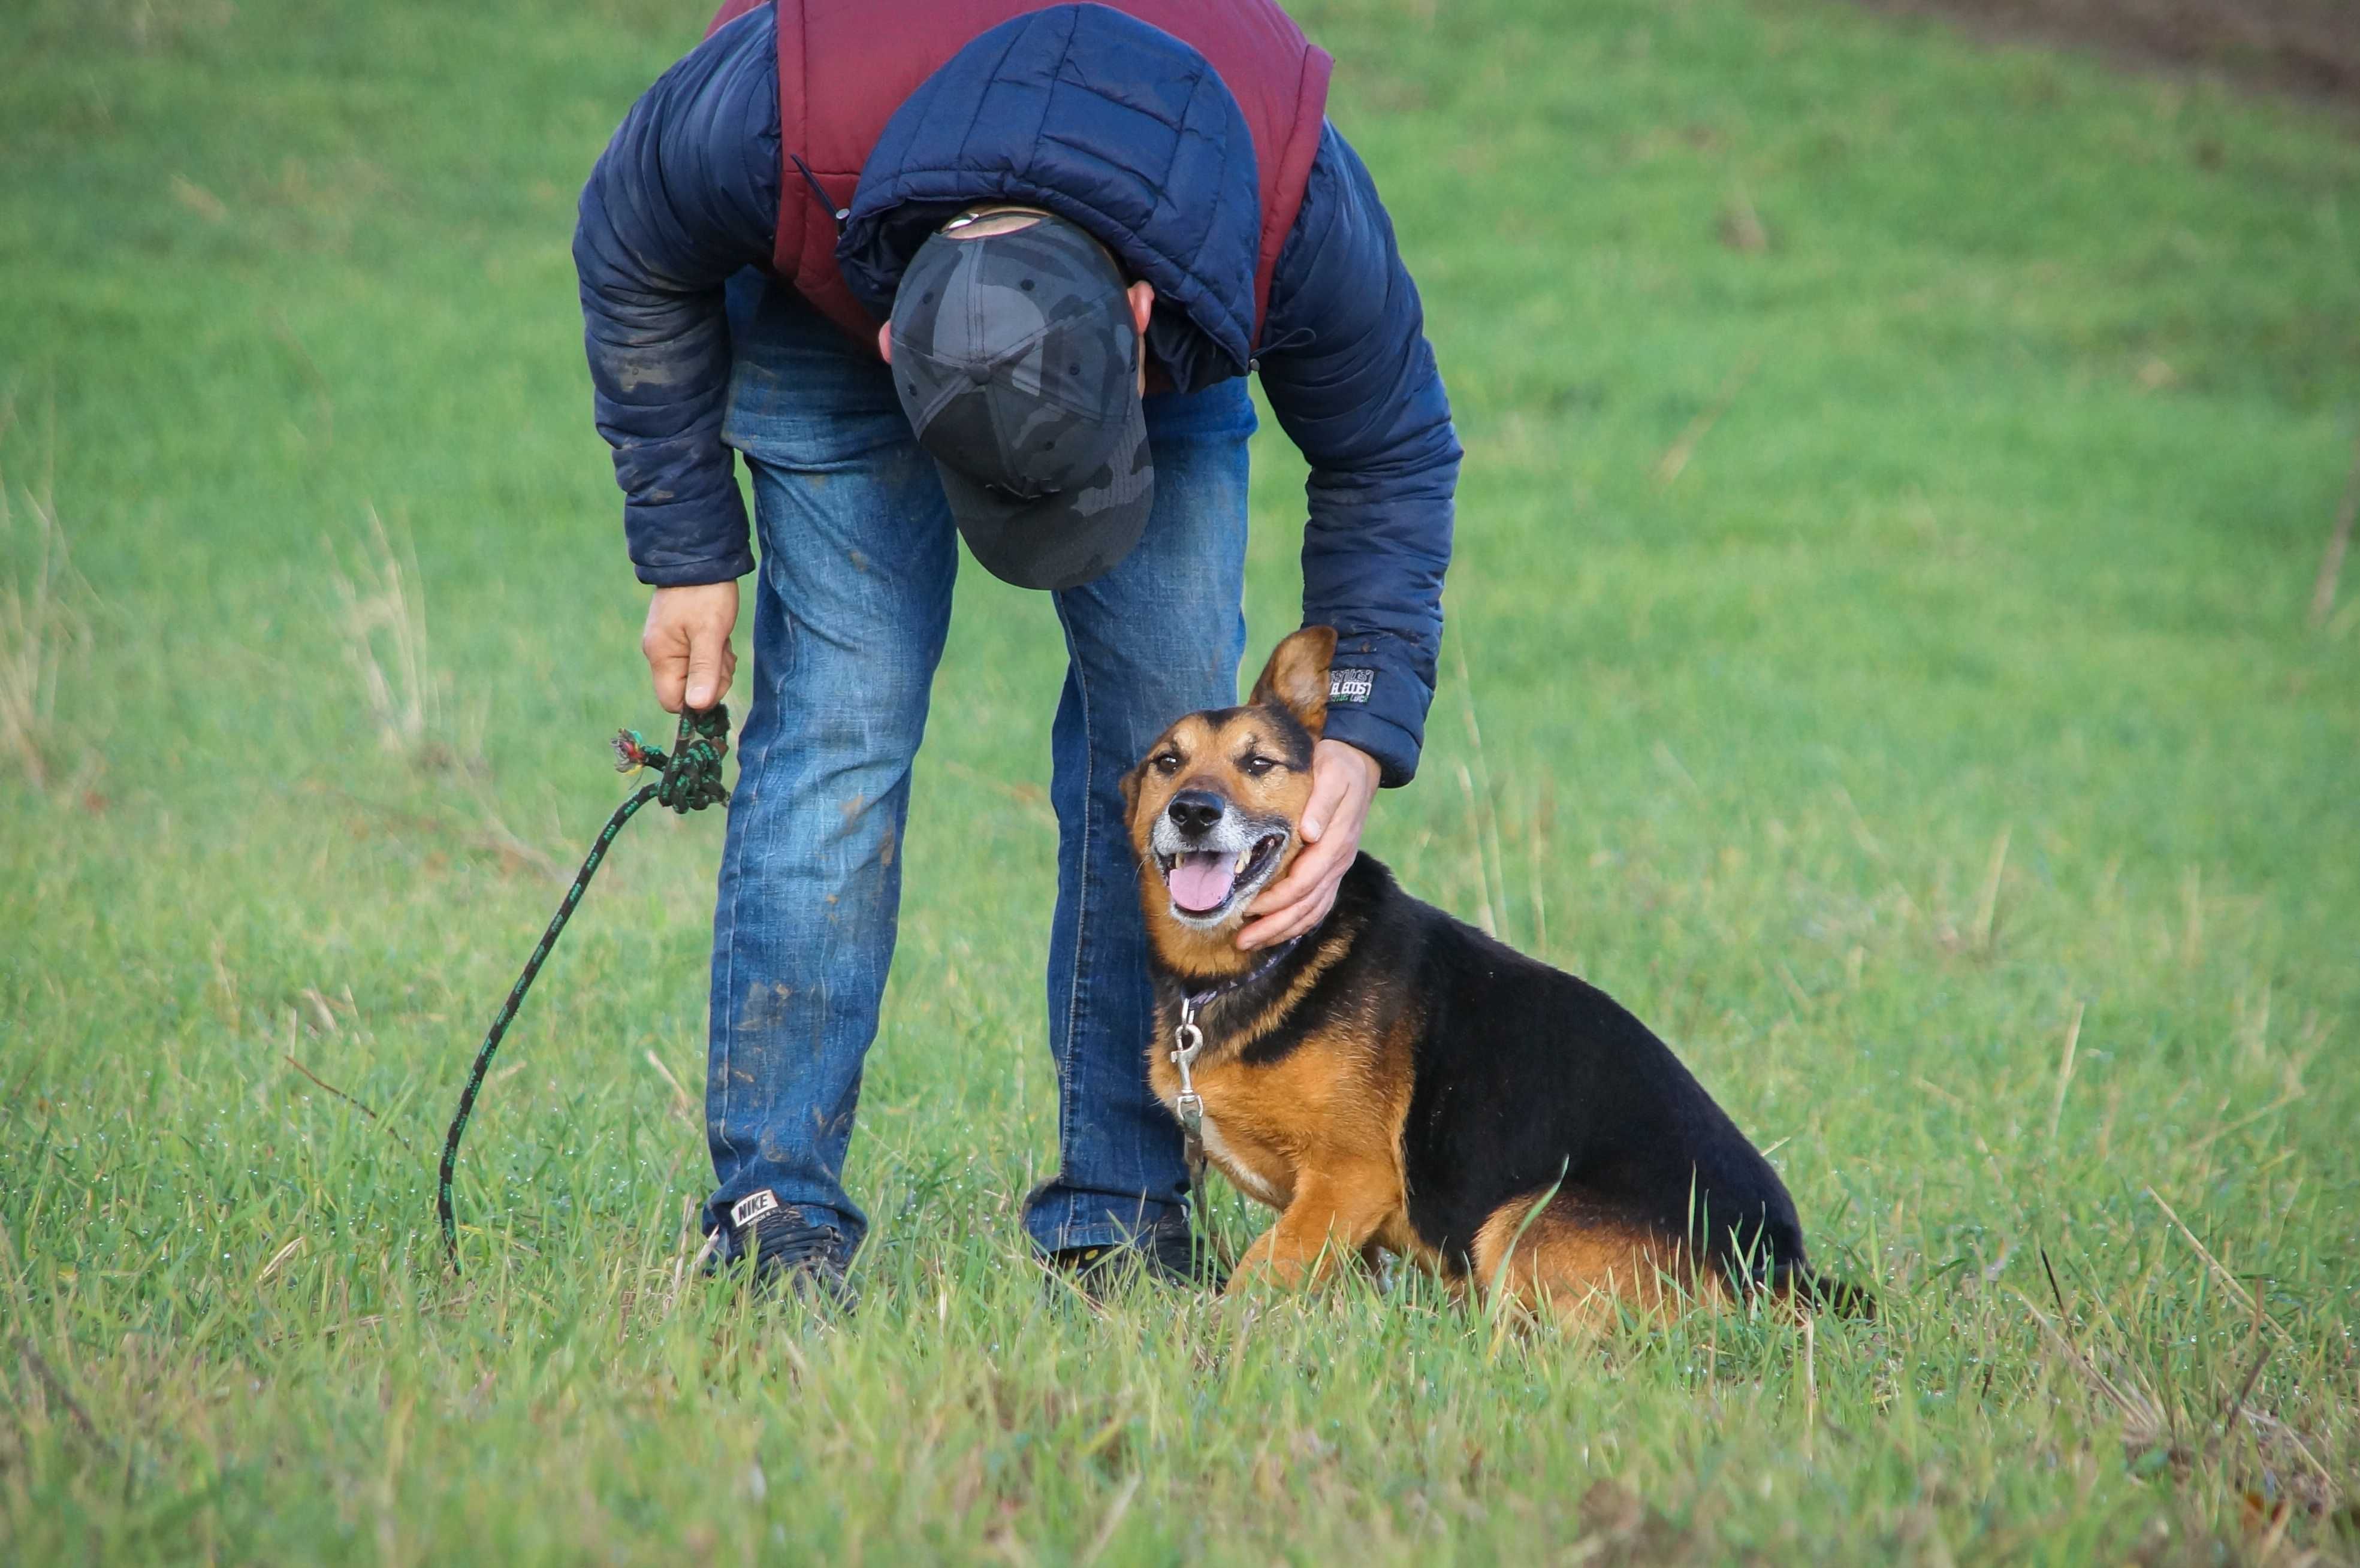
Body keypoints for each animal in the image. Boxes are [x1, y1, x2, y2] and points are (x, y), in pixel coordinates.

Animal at [1113, 622, 1869, 1320]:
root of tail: (1777, 1263)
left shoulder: (1347, 1178)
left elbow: (1262, 1268)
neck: (1273, 956)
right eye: (1167, 762)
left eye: (1259, 762)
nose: (1193, 810)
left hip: (1514, 1222)